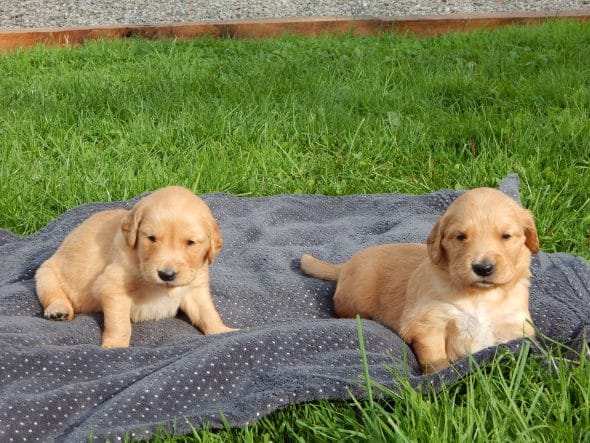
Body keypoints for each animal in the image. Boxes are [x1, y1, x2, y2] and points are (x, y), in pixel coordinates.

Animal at [35, 186, 236, 348]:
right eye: (151, 238)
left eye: (191, 243)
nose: (166, 274)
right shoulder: (111, 286)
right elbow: (120, 324)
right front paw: (115, 345)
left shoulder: (196, 287)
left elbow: (208, 313)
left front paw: (223, 331)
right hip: (45, 273)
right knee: (53, 292)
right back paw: (59, 310)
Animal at [306, 189, 540, 372]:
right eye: (460, 237)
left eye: (506, 236)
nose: (483, 268)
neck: (479, 296)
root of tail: (346, 264)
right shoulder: (428, 323)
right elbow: (435, 356)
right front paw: (441, 375)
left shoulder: (515, 327)